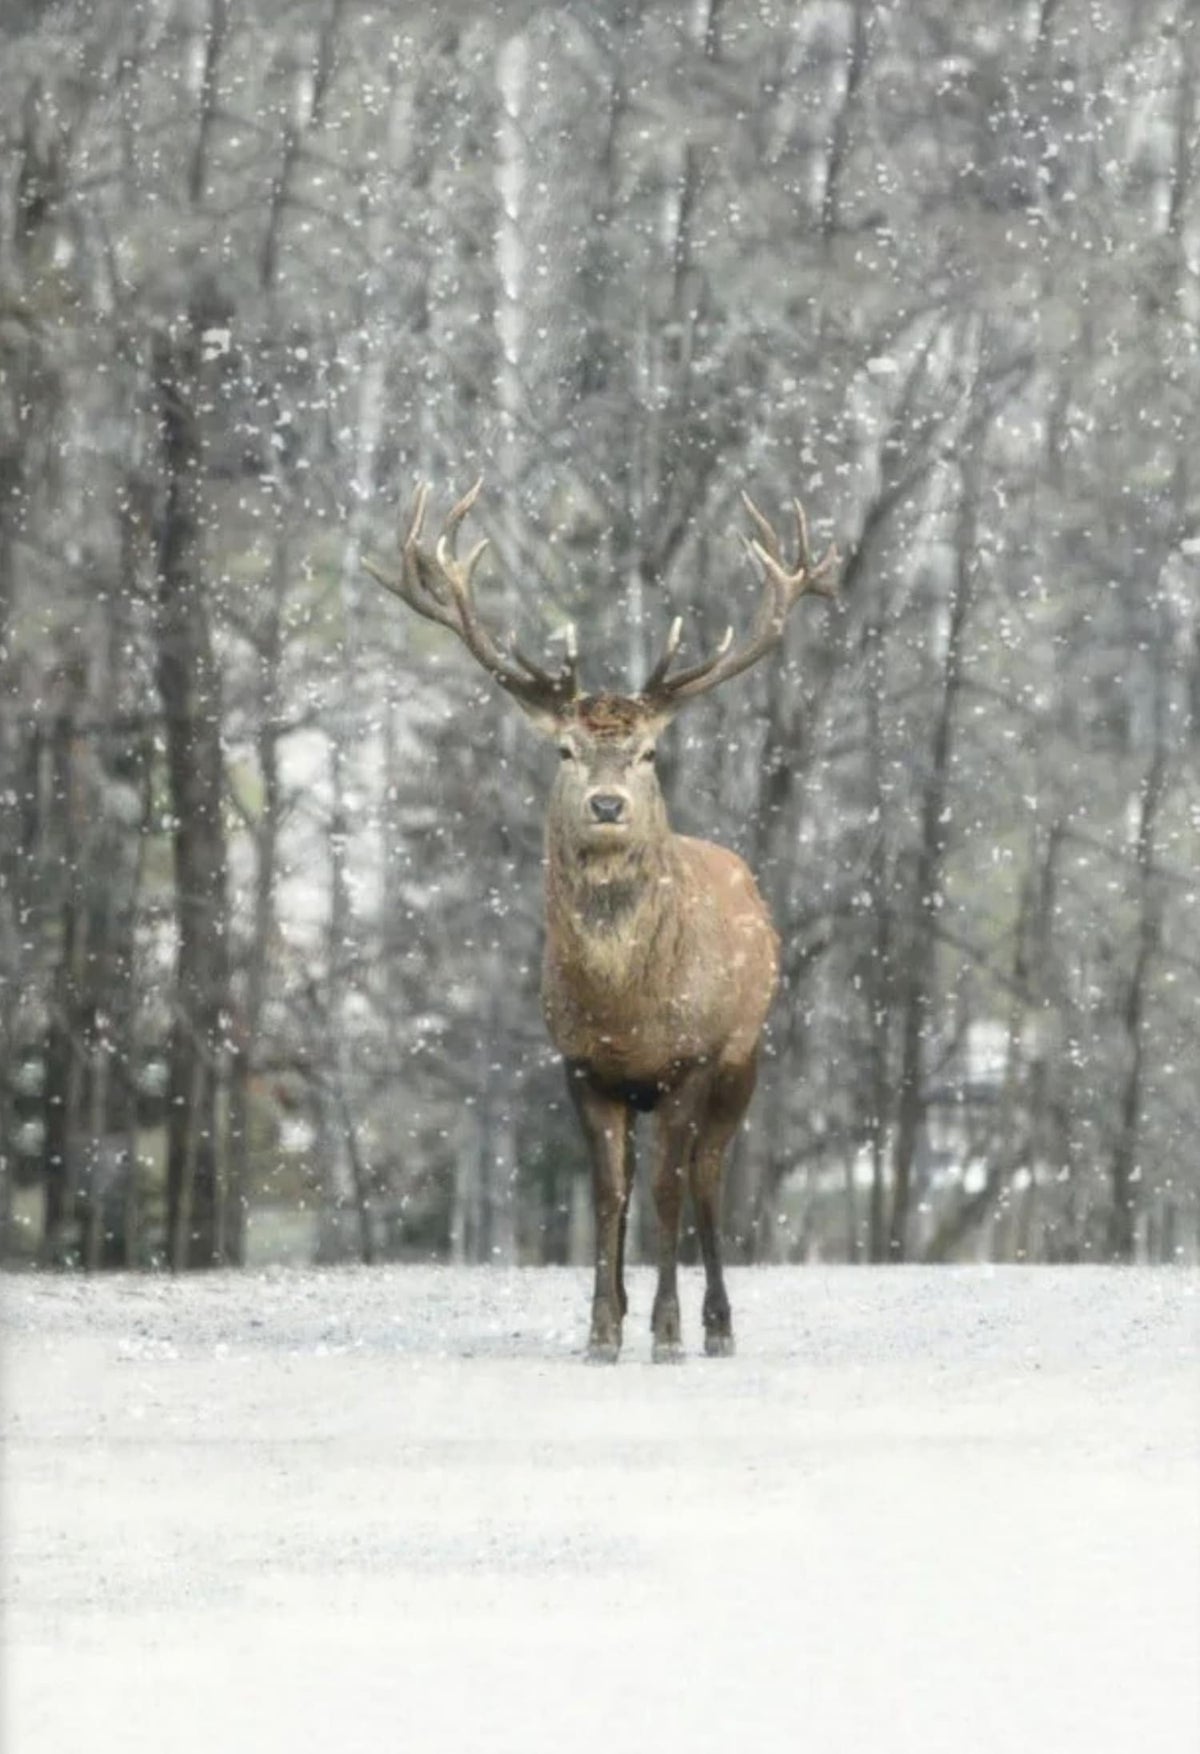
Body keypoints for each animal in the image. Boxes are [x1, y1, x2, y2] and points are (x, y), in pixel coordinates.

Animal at [364, 482, 837, 1361]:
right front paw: (602, 1327)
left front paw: (667, 1330)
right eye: (566, 752)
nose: (608, 805)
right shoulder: (581, 1064)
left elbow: (667, 1191)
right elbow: (608, 1192)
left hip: (745, 1052)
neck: (625, 1009)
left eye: (648, 752)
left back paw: (719, 1324)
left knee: (709, 1176)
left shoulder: (688, 1058)